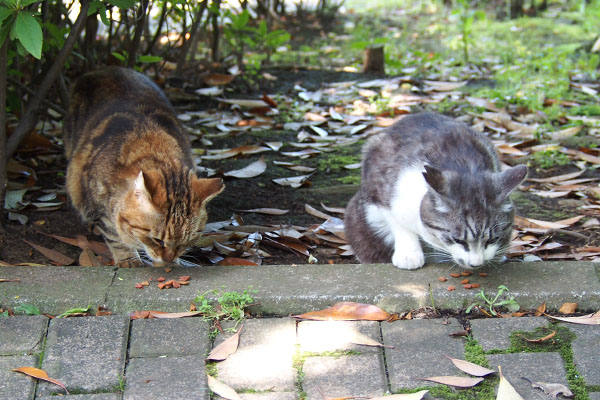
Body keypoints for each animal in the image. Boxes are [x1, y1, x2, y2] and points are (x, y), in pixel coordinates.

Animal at [63, 67, 224, 268]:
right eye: (157, 240)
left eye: (186, 242)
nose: (169, 258)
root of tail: (102, 70)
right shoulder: (100, 208)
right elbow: (116, 238)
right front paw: (129, 259)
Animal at [344, 111, 528, 270]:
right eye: (458, 240)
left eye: (493, 239)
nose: (476, 264)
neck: (464, 166)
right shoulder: (380, 189)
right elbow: (398, 222)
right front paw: (409, 254)